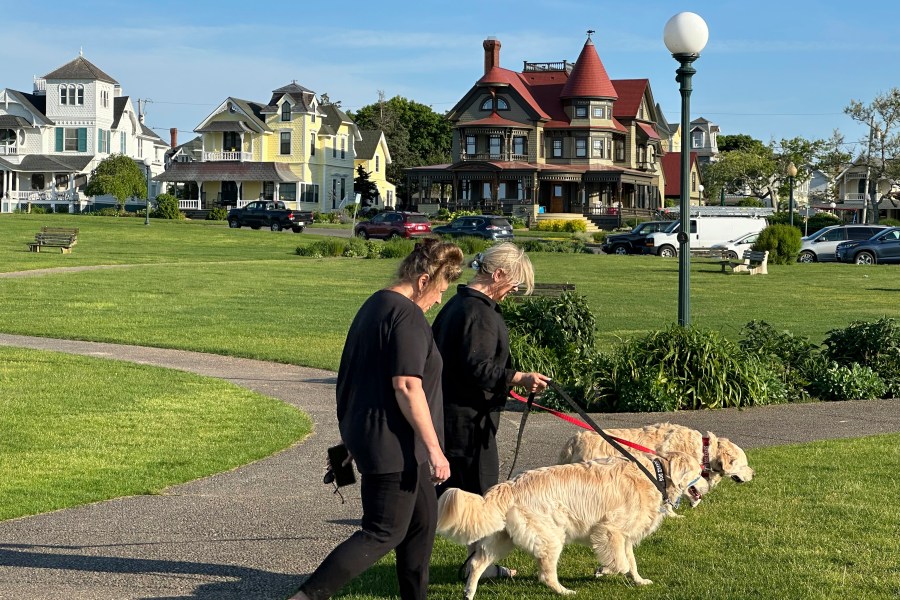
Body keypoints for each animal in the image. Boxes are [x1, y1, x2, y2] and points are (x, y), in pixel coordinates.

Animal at [438, 452, 712, 596]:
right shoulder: (609, 529)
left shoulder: (624, 535)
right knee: (545, 574)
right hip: (551, 536)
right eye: (699, 471)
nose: (709, 486)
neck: (655, 475)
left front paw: (639, 581)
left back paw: (469, 593)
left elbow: (631, 563)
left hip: (503, 539)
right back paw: (564, 591)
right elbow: (622, 562)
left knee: (476, 563)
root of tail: (509, 485)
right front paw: (604, 570)